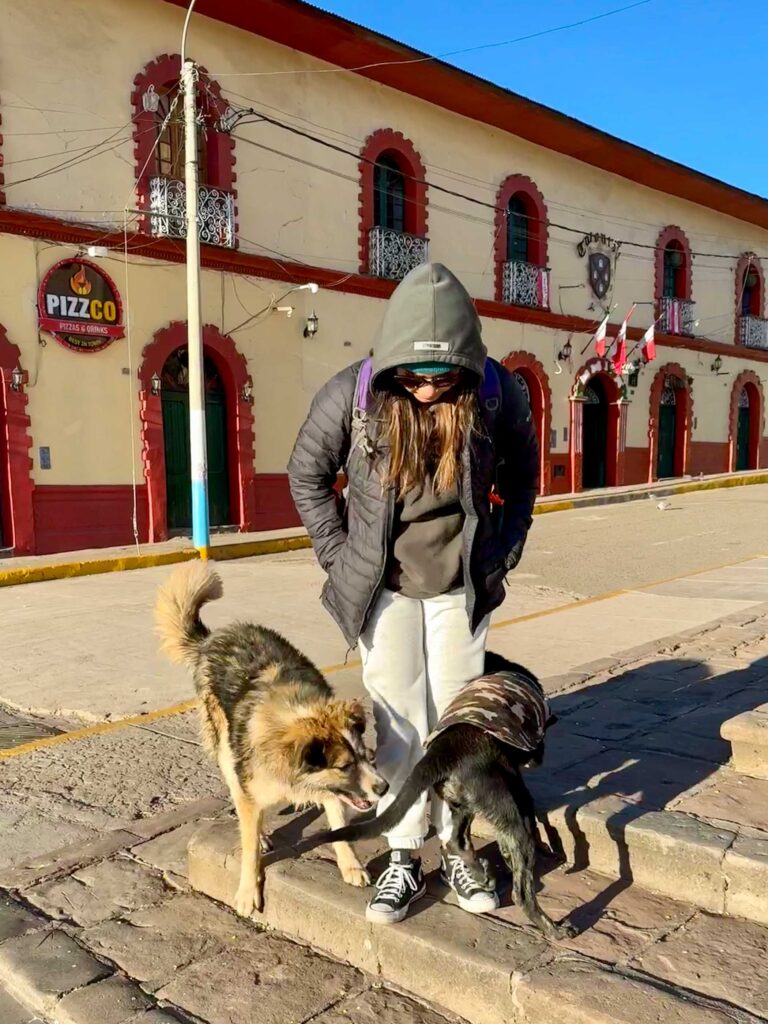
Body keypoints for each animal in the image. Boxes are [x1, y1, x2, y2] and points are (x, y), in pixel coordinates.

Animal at [154, 565, 387, 917]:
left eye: (367, 756)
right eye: (346, 766)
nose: (384, 787)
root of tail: (212, 637)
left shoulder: (330, 790)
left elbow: (337, 817)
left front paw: (351, 864)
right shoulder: (253, 785)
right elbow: (249, 846)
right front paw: (248, 890)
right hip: (225, 749)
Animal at [307, 659, 577, 937]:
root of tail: (442, 752)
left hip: (462, 804)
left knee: (457, 841)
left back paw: (483, 875)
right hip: (508, 808)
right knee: (521, 891)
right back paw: (554, 929)